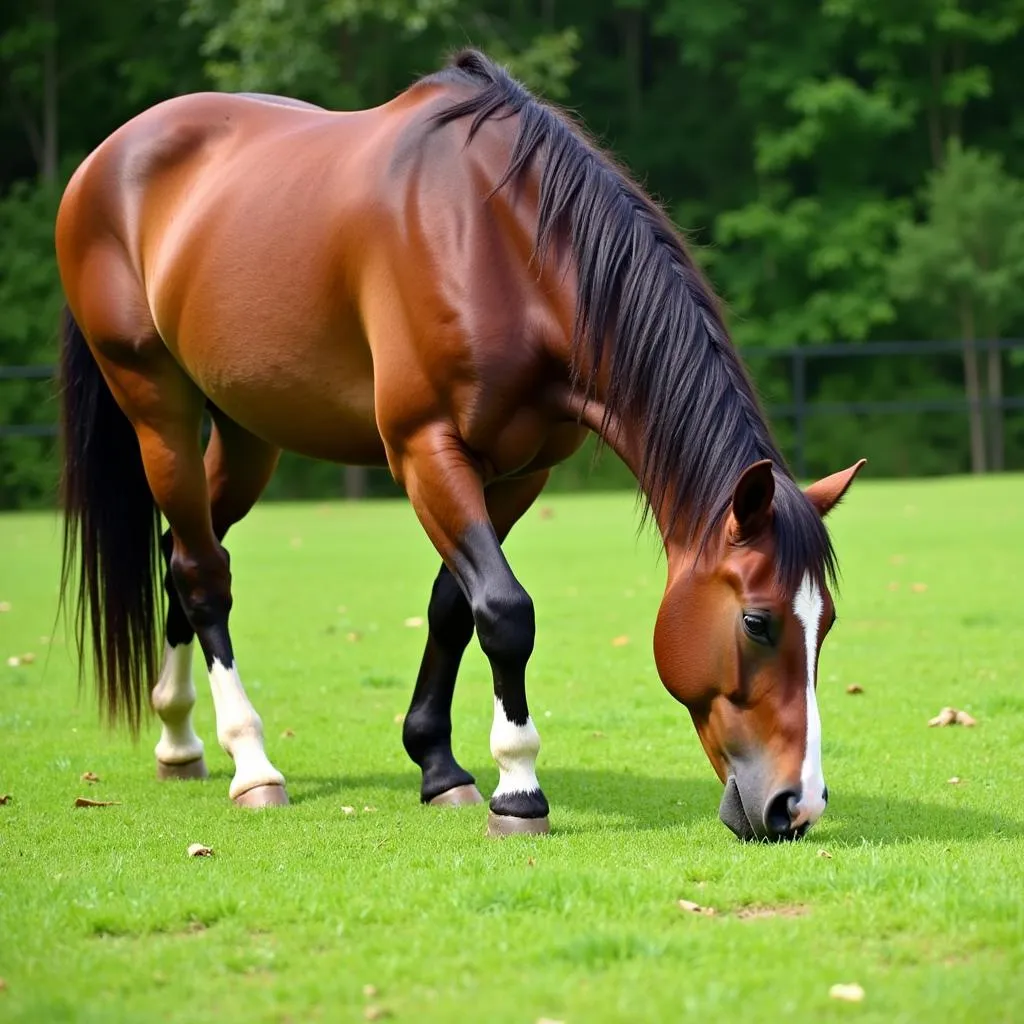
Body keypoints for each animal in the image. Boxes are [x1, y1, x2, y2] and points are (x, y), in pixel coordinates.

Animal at [51, 48, 860, 839]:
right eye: (756, 622)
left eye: (825, 624)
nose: (797, 805)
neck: (500, 243)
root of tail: (105, 159)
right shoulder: (424, 449)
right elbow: (503, 610)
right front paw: (519, 787)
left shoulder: (519, 473)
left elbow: (453, 607)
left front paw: (439, 767)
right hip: (157, 409)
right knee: (200, 574)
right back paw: (251, 765)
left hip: (247, 432)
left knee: (180, 557)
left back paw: (179, 741)